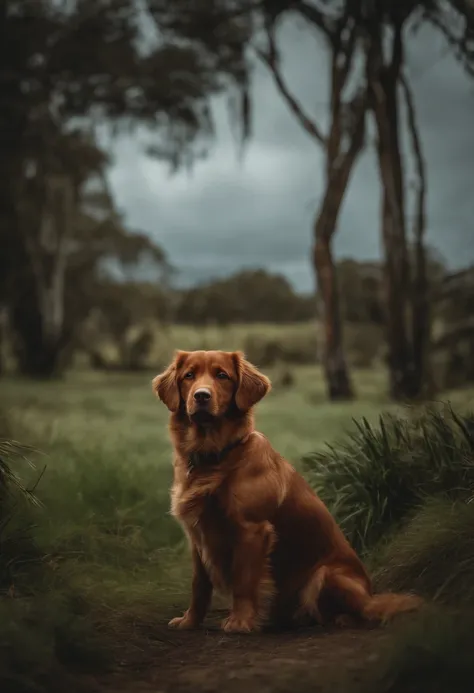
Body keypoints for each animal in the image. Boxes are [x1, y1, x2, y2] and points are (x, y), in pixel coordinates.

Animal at [153, 352, 422, 632]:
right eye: (189, 376)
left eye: (222, 375)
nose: (201, 396)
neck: (216, 456)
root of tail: (370, 594)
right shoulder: (199, 534)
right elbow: (199, 585)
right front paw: (189, 621)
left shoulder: (252, 531)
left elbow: (243, 582)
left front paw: (240, 621)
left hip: (325, 574)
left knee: (360, 612)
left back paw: (338, 619)